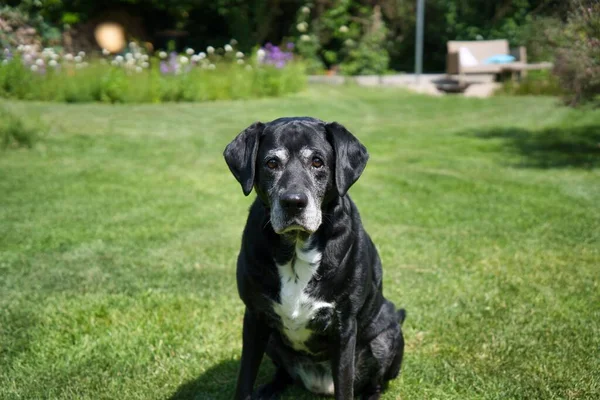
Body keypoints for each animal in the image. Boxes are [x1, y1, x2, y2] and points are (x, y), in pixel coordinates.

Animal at [225, 117, 408, 398]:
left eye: (317, 162)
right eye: (271, 163)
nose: (293, 202)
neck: (296, 250)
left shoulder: (344, 326)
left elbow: (345, 386)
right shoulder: (254, 316)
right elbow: (245, 378)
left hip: (387, 336)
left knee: (375, 383)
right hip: (273, 340)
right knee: (284, 373)